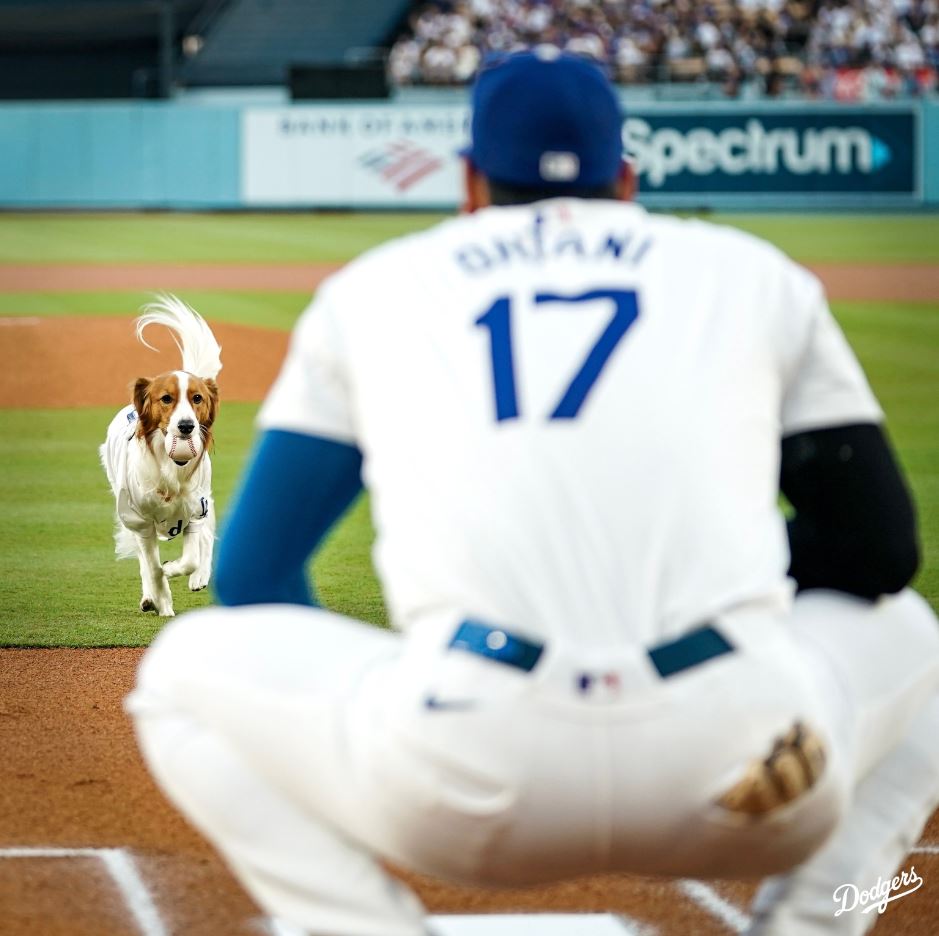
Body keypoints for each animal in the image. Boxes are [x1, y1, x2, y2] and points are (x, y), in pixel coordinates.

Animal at [100, 296, 222, 616]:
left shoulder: (195, 510)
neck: (171, 468)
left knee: (207, 538)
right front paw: (162, 600)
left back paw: (199, 577)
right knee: (145, 562)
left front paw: (177, 570)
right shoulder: (139, 520)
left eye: (197, 398)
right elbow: (151, 567)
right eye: (166, 399)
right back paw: (150, 597)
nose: (186, 426)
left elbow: (189, 557)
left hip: (205, 500)